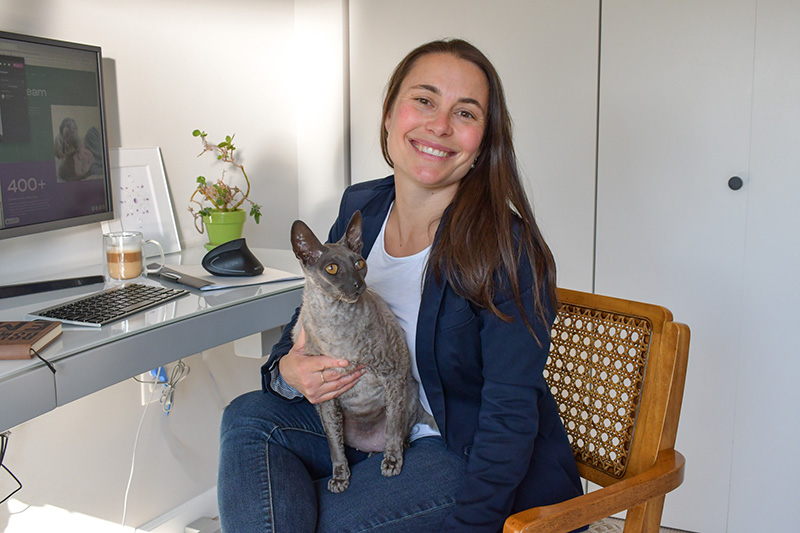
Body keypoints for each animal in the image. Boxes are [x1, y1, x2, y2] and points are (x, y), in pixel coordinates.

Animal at [290, 210, 422, 492]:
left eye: (360, 263)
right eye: (332, 268)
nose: (357, 284)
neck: (336, 322)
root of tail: (368, 443)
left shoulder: (393, 375)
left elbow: (393, 429)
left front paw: (392, 462)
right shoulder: (326, 398)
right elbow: (334, 446)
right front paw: (341, 477)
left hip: (408, 392)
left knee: (398, 429)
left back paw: (396, 449)